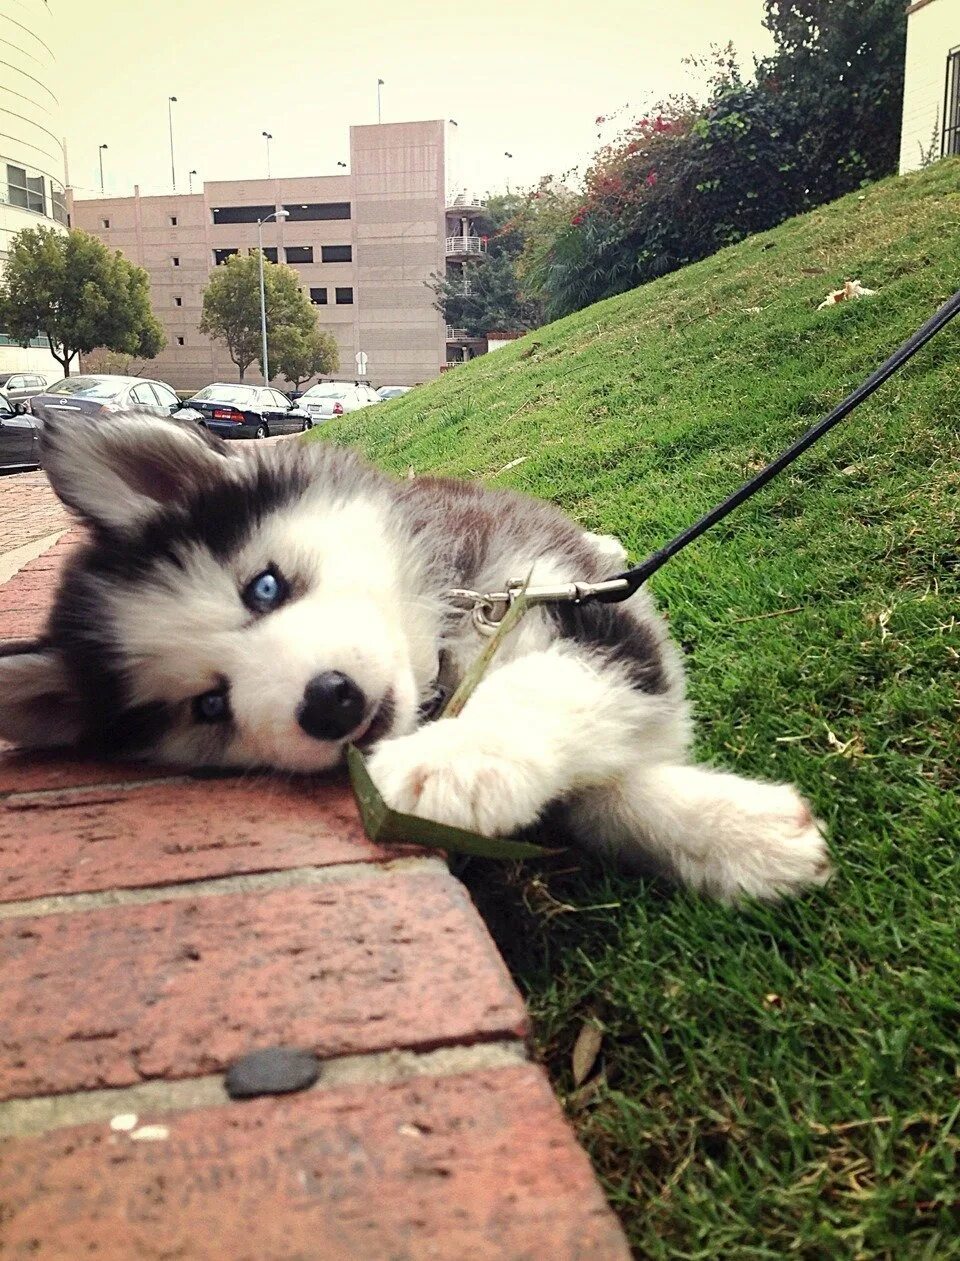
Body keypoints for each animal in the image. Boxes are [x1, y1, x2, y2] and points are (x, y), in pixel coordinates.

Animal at [0, 411, 832, 897]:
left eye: (264, 587)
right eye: (208, 704)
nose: (327, 700)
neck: (436, 646)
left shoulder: (570, 605)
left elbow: (548, 690)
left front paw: (454, 761)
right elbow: (597, 788)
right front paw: (747, 836)